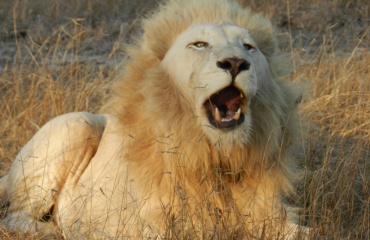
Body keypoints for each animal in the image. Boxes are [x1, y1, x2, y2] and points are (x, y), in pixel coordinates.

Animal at [0, 0, 306, 238]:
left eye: (248, 47)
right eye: (199, 45)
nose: (235, 63)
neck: (215, 157)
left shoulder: (270, 212)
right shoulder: (143, 223)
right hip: (75, 125)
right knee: (16, 218)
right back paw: (55, 231)